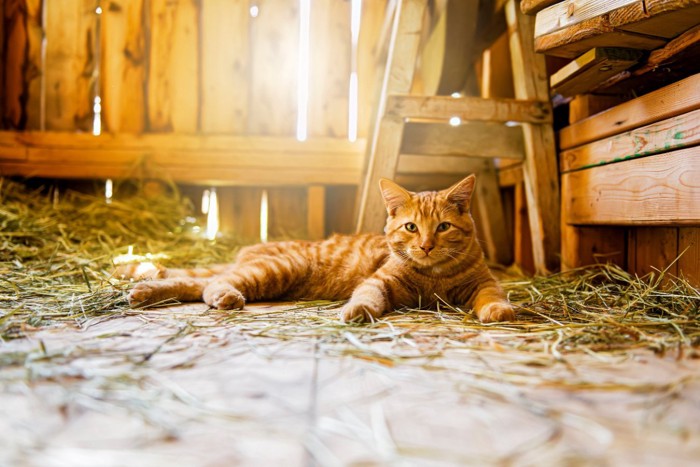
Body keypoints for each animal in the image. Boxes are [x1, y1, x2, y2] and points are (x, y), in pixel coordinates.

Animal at [126, 174, 516, 324]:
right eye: (411, 227)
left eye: (443, 227)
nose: (426, 245)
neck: (434, 276)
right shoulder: (380, 281)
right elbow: (367, 296)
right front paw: (357, 311)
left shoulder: (483, 282)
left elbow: (492, 295)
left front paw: (498, 311)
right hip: (277, 269)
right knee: (212, 283)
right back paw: (223, 297)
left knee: (198, 283)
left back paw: (144, 292)